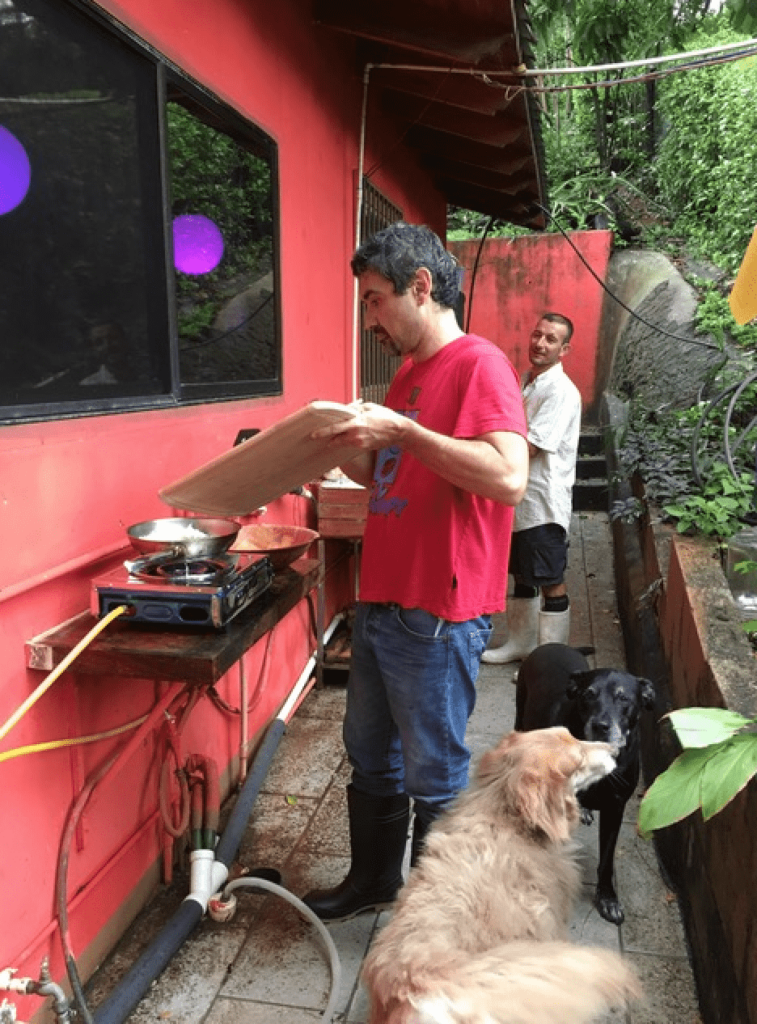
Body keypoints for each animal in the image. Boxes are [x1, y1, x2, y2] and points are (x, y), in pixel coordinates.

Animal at [514, 643, 655, 925]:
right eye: (589, 695)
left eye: (624, 698)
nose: (601, 725)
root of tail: (552, 645)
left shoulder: (615, 808)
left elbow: (607, 859)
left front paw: (608, 898)